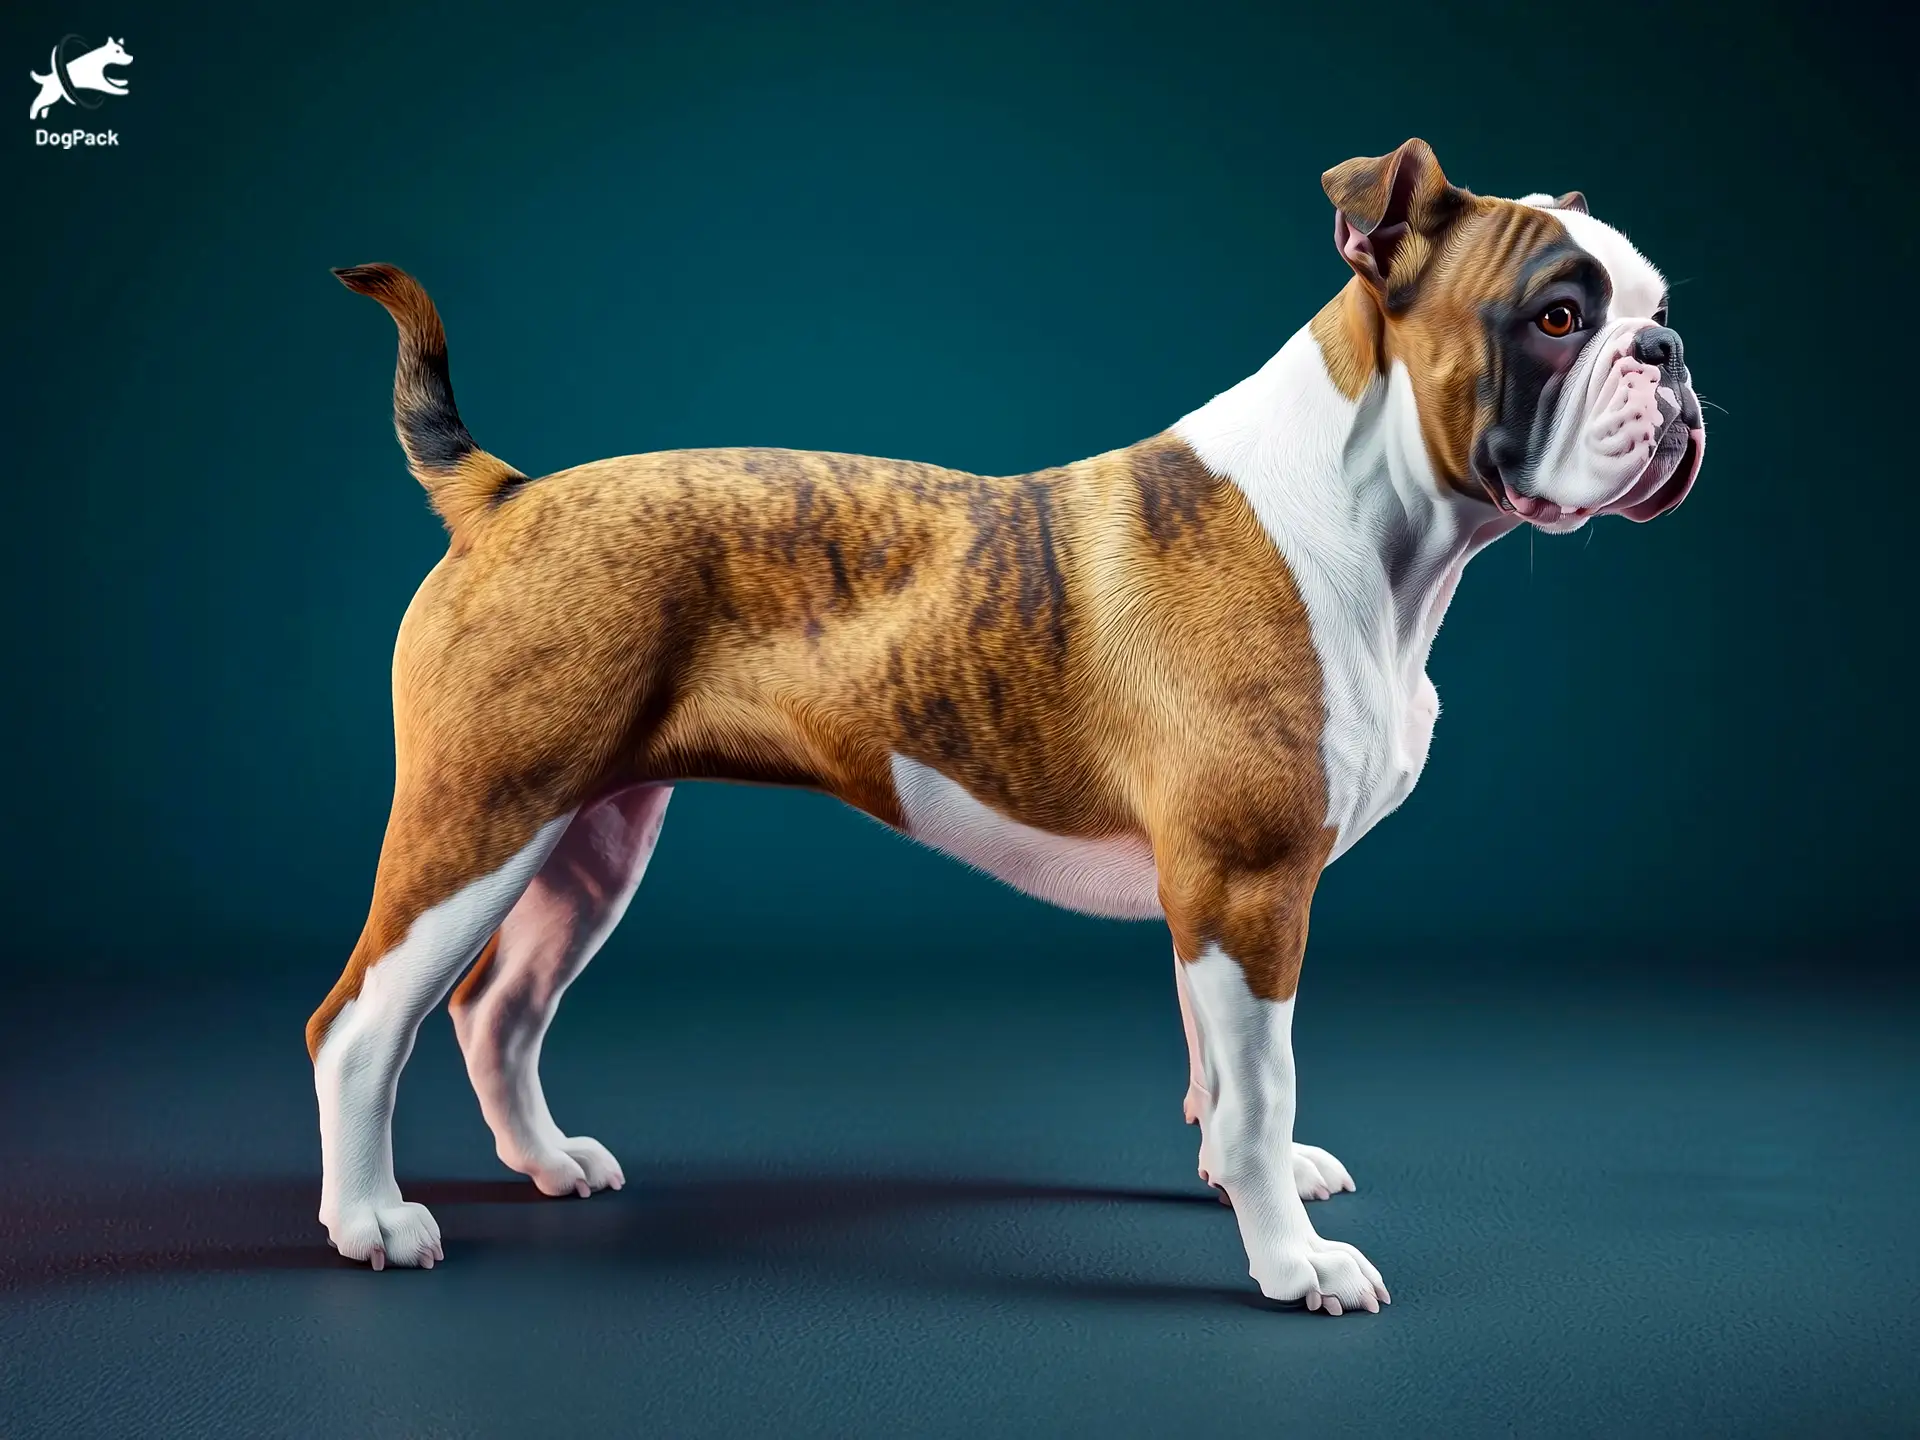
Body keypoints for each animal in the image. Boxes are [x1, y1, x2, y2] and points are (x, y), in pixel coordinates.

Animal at [318, 141, 1712, 1313]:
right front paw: (1293, 1264)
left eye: (1652, 302)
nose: (1669, 351)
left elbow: (1222, 1075)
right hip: (481, 820)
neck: (1370, 512)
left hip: (590, 839)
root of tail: (502, 496)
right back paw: (373, 1221)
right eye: (1556, 317)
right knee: (362, 1026)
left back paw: (549, 1161)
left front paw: (1240, 1187)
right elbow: (1262, 1085)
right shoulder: (1252, 886)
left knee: (499, 1010)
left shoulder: (1205, 896)